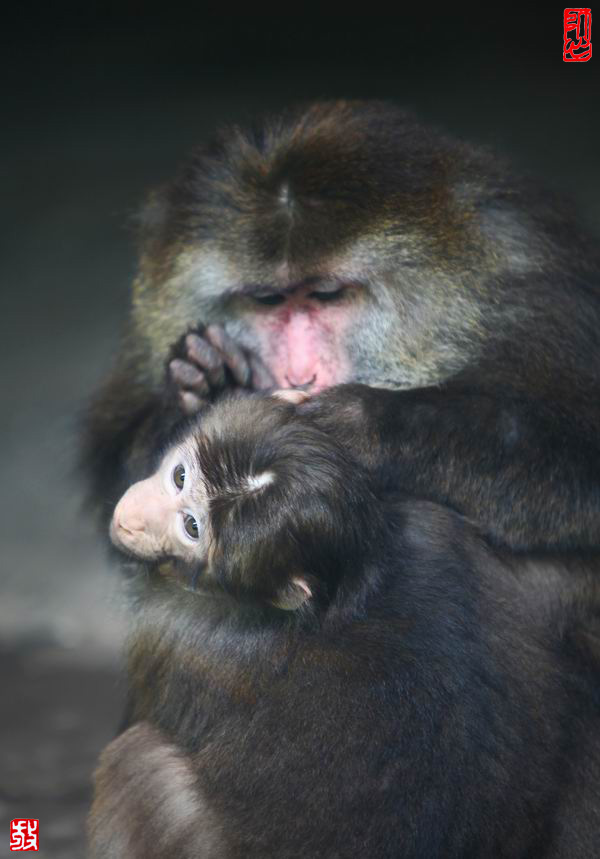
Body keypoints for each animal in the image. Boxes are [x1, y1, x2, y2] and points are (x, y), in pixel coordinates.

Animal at [83, 102, 600, 552]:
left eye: (328, 294)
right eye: (268, 300)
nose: (300, 374)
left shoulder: (534, 293)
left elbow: (579, 470)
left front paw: (357, 423)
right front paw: (205, 382)